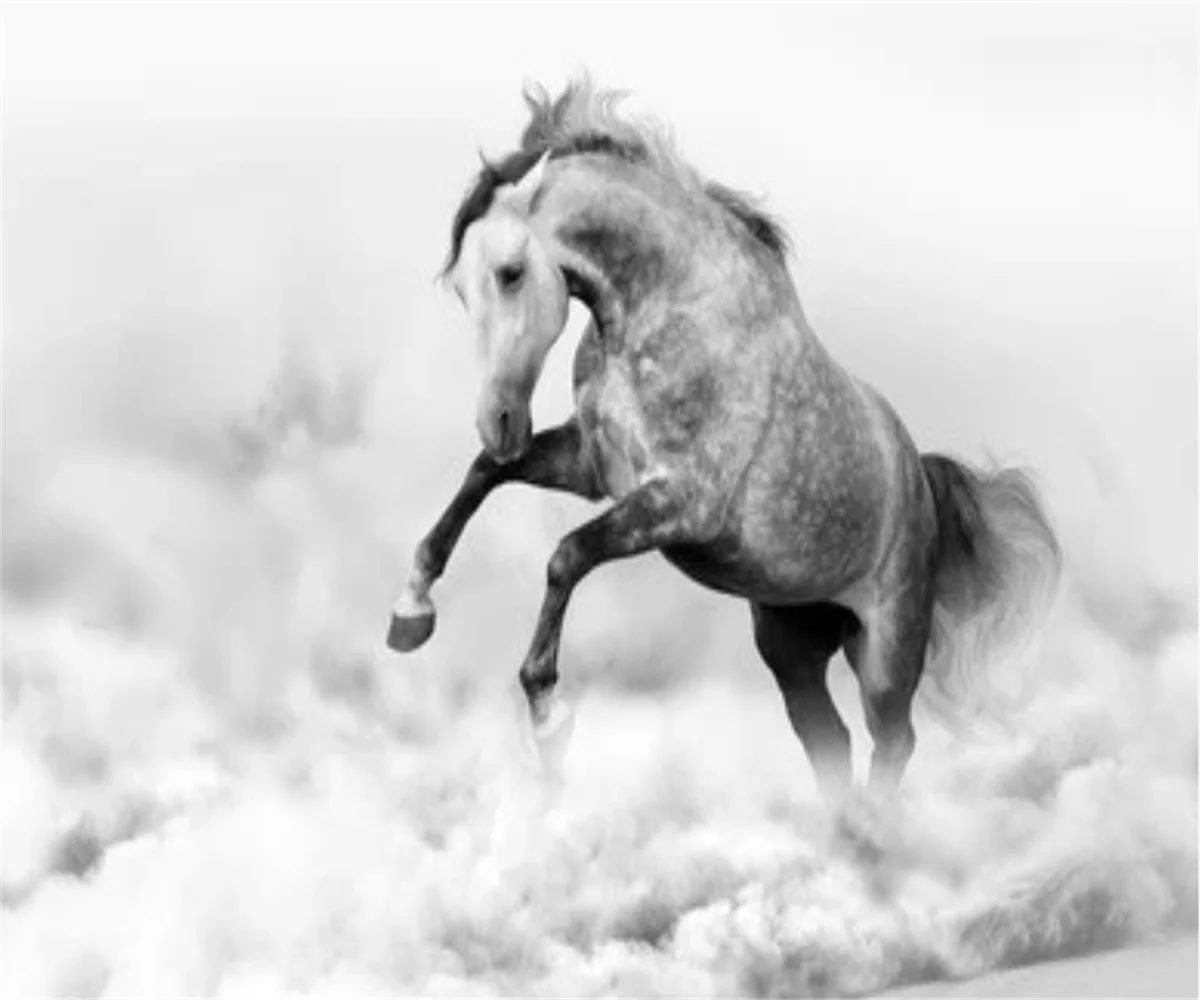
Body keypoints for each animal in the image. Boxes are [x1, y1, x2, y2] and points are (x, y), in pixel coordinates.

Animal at [386, 78, 1061, 799]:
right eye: (461, 288)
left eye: (510, 273)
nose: (500, 419)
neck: (666, 313)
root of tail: (922, 483)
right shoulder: (595, 467)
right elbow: (483, 476)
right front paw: (411, 614)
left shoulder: (680, 503)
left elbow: (566, 556)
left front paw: (549, 723)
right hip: (791, 644)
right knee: (828, 740)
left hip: (886, 653)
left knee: (892, 742)